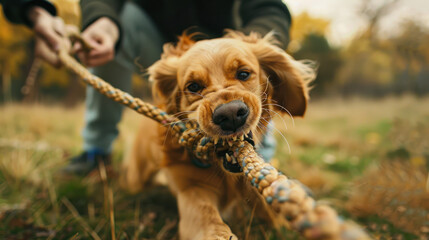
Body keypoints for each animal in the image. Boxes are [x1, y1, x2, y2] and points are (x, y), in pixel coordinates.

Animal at [122, 31, 312, 239]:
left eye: (243, 74)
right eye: (193, 86)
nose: (231, 115)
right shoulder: (193, 190)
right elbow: (209, 220)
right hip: (138, 176)